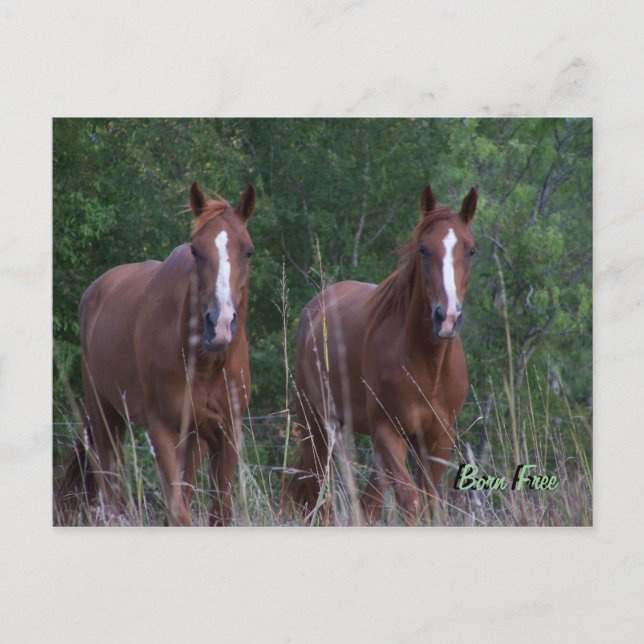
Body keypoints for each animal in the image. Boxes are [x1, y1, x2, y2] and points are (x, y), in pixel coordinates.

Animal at [57, 182, 257, 526]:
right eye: (195, 250)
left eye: (248, 251)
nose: (219, 324)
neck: (204, 363)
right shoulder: (162, 429)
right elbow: (178, 513)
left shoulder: (227, 431)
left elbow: (219, 511)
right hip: (104, 416)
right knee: (111, 488)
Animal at [291, 185, 477, 525]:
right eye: (423, 249)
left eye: (471, 250)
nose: (446, 318)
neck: (429, 369)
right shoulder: (388, 432)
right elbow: (410, 501)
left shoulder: (438, 439)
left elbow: (428, 504)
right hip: (317, 425)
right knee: (317, 491)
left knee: (367, 503)